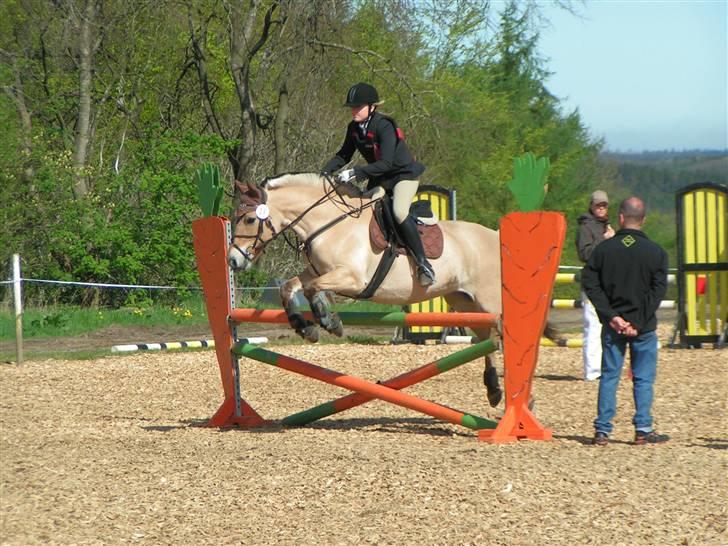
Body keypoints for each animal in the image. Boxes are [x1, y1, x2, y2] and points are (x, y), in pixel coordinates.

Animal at [228, 172, 506, 406]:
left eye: (250, 219)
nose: (233, 260)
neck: (329, 225)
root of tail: (495, 234)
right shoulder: (317, 272)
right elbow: (289, 287)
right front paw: (306, 327)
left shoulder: (351, 278)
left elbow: (312, 290)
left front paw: (328, 321)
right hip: (462, 300)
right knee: (486, 338)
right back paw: (493, 390)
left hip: (488, 301)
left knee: (498, 334)